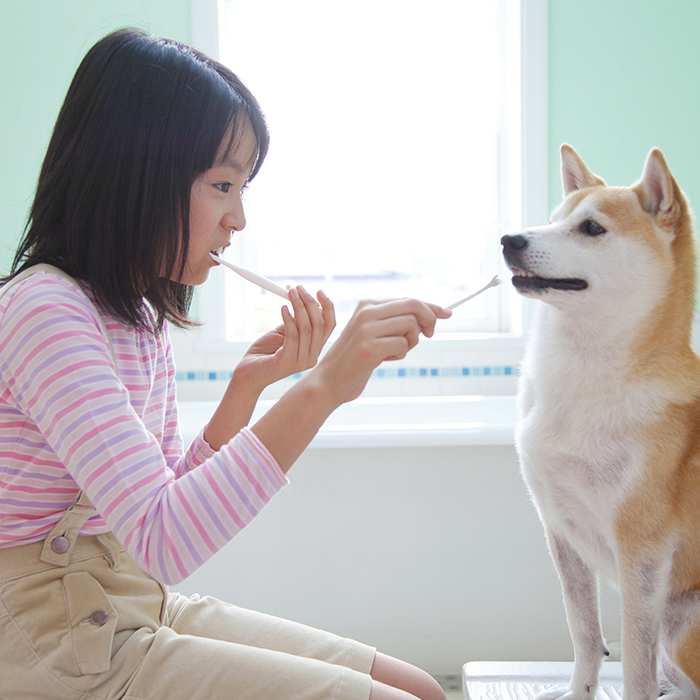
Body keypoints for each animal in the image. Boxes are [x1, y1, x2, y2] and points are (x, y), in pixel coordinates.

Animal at [500, 145, 700, 696]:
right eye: (552, 220)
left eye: (591, 229)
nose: (509, 240)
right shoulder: (561, 532)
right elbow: (586, 635)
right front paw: (577, 691)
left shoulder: (643, 554)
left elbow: (634, 663)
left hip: (685, 624)